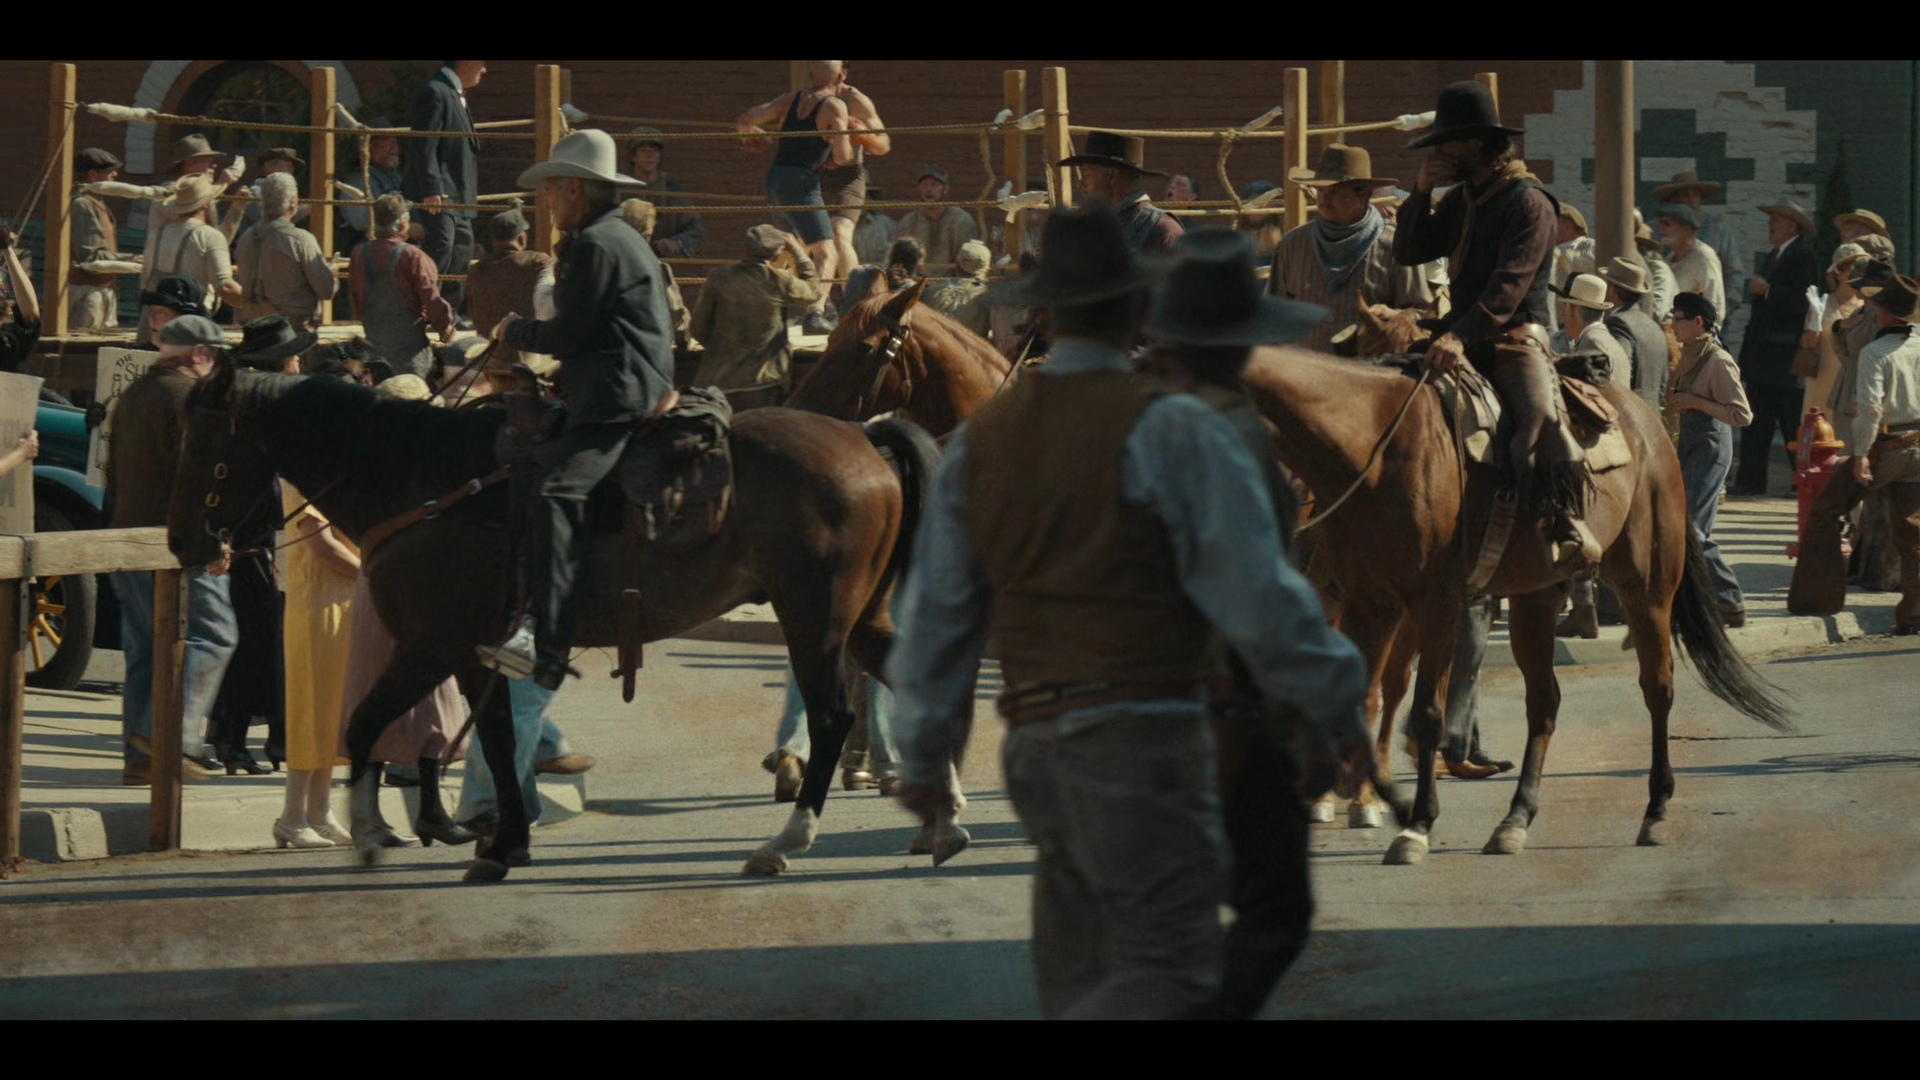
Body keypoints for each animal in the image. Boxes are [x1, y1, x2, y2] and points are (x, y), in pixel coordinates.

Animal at [165, 361, 942, 881]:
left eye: (203, 449)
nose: (183, 545)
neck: (423, 483)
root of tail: (867, 437)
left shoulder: (429, 644)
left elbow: (366, 726)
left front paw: (369, 835)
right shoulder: (467, 651)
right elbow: (496, 737)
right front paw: (501, 840)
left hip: (814, 618)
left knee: (836, 717)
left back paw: (787, 841)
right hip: (859, 620)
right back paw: (944, 824)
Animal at [1244, 346, 1791, 863]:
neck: (1376, 450)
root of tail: (1649, 418)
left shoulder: (1435, 601)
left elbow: (1426, 712)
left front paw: (1415, 822)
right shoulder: (1368, 603)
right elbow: (1357, 701)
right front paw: (1362, 800)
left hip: (1647, 585)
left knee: (1657, 687)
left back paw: (1655, 810)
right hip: (1534, 599)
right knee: (1544, 702)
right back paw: (1514, 820)